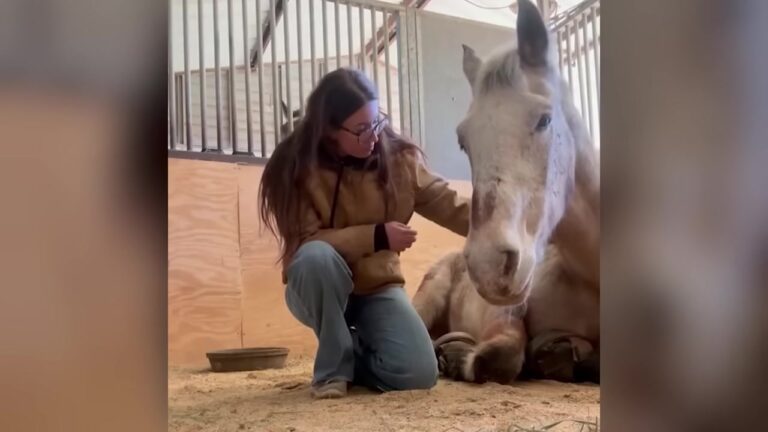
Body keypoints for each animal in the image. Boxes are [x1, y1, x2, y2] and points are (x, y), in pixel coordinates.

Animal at [412, 0, 599, 384]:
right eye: (463, 139)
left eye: (544, 120)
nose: (488, 264)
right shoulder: (507, 305)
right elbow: (500, 355)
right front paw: (459, 356)